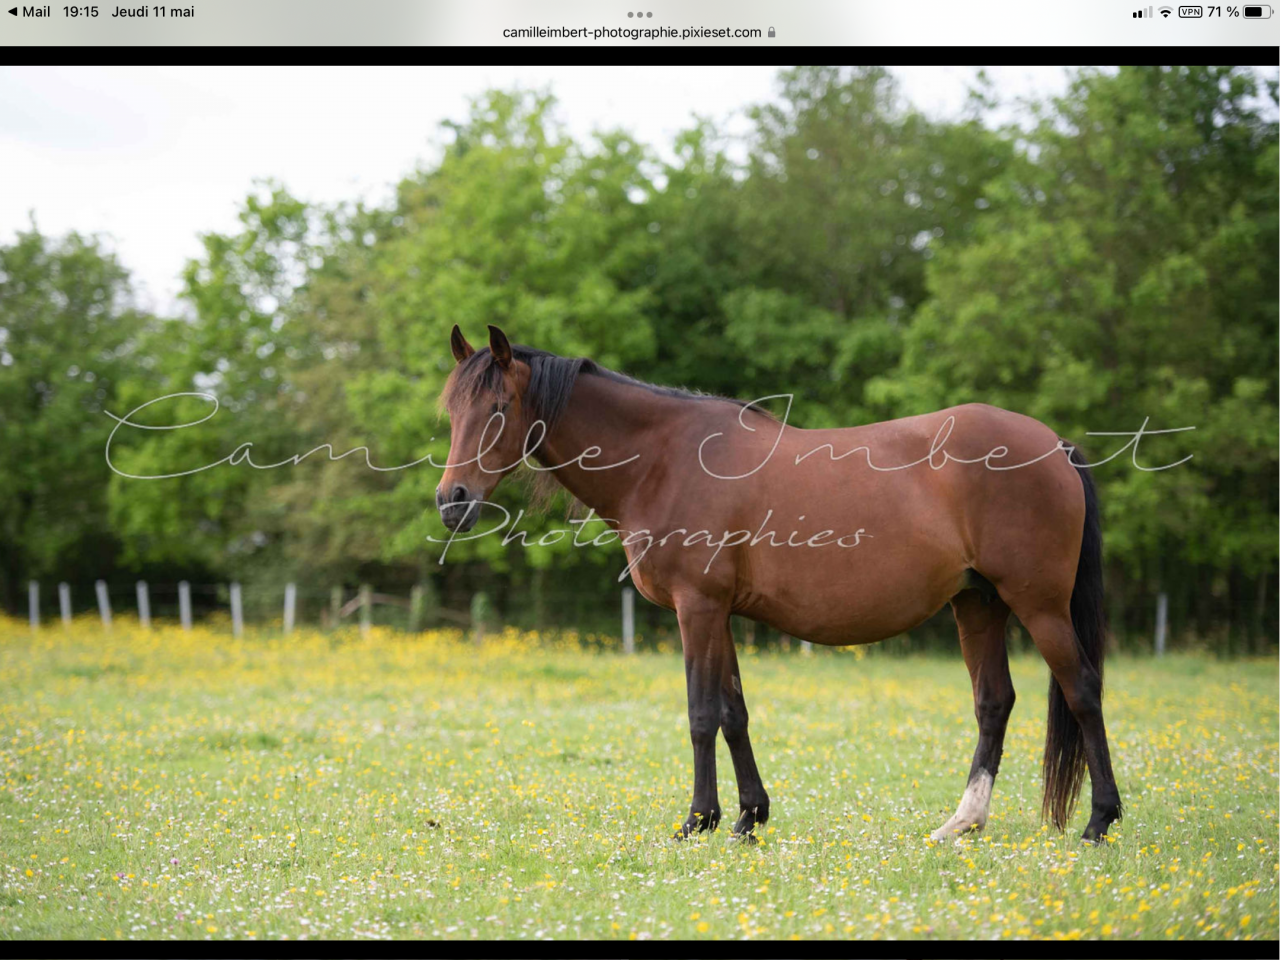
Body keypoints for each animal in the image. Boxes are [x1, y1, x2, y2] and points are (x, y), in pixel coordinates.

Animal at [435, 325, 1123, 843]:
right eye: (452, 411)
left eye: (498, 410)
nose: (452, 502)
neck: (665, 461)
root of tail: (1054, 444)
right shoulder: (720, 613)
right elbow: (734, 713)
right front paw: (747, 817)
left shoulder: (697, 608)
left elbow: (701, 713)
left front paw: (698, 820)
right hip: (977, 603)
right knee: (994, 702)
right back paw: (963, 823)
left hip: (1038, 605)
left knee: (1082, 690)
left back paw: (1099, 822)